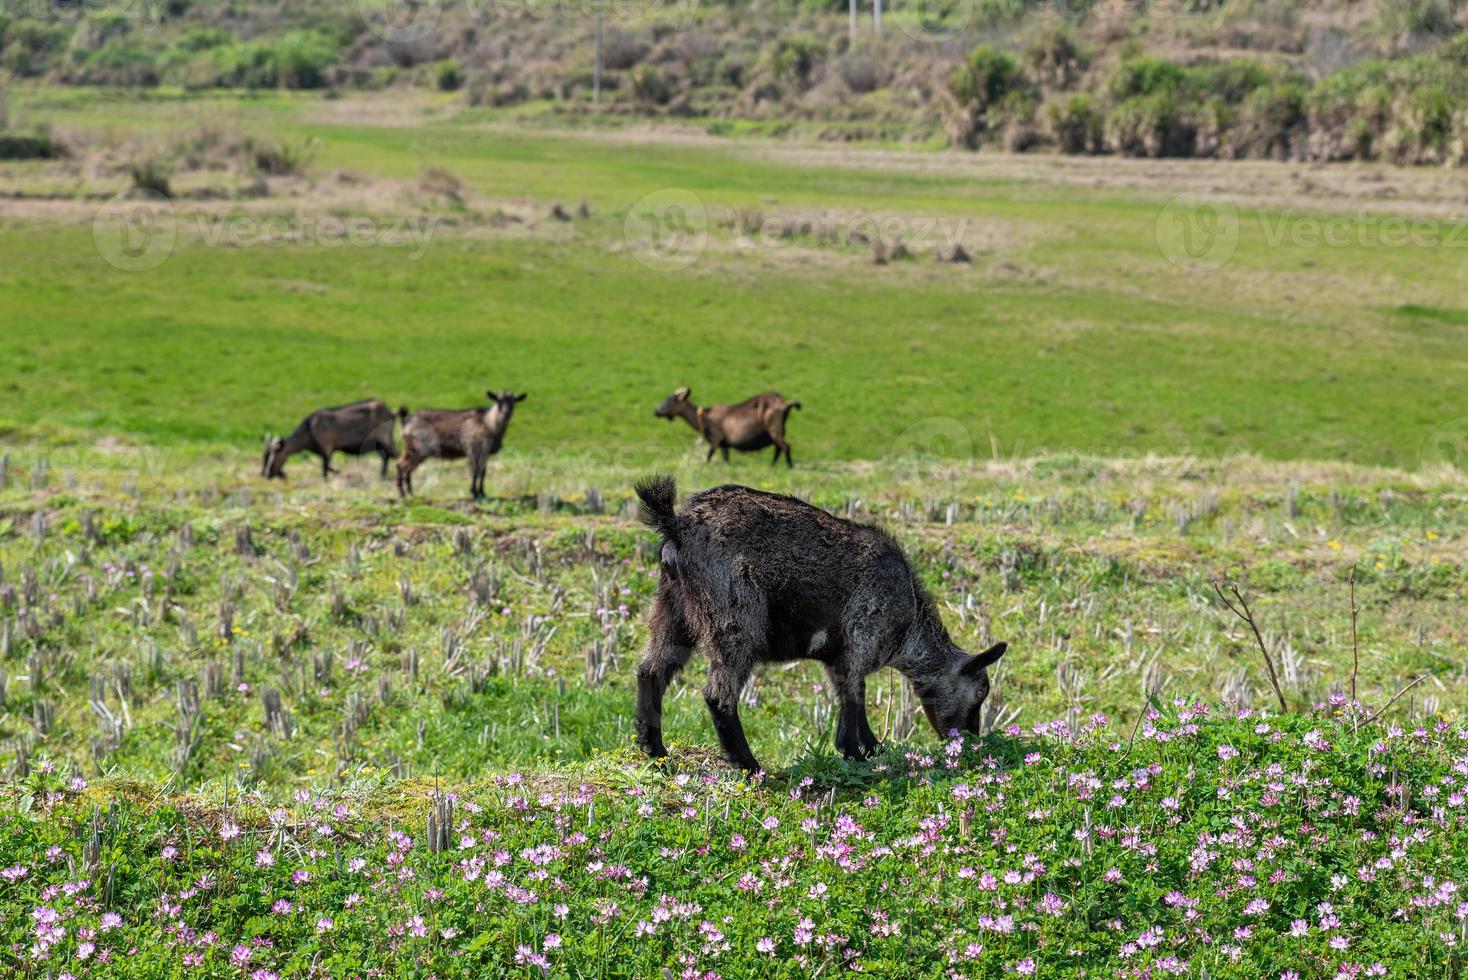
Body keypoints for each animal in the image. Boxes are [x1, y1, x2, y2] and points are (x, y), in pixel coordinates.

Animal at [261, 393, 402, 478]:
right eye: (264, 456)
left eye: (274, 456)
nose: (265, 474)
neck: (309, 430)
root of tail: (391, 412)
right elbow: (326, 468)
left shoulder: (327, 448)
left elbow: (325, 468)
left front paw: (338, 474)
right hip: (378, 443)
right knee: (386, 456)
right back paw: (382, 476)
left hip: (385, 437)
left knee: (396, 455)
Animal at [396, 390, 528, 498]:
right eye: (498, 401)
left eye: (513, 402)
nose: (505, 414)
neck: (487, 423)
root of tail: (406, 420)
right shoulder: (472, 448)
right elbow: (475, 471)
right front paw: (474, 492)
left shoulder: (485, 453)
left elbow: (483, 472)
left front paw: (482, 493)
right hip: (415, 448)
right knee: (401, 465)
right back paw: (402, 493)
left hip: (417, 452)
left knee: (408, 468)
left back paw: (410, 492)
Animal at [631, 475, 1009, 774]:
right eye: (980, 691)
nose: (969, 740)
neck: (908, 619)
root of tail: (677, 526)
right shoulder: (861, 638)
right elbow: (854, 698)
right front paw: (855, 754)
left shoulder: (837, 658)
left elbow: (851, 699)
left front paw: (872, 748)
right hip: (734, 617)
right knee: (717, 694)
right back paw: (749, 765)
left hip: (672, 610)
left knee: (652, 671)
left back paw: (656, 752)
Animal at [651, 387, 798, 466]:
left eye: (671, 400)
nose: (656, 411)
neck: (705, 417)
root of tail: (785, 403)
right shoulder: (725, 444)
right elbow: (726, 459)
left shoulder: (716, 438)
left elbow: (709, 455)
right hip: (778, 431)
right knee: (779, 448)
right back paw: (772, 465)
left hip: (774, 428)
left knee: (785, 446)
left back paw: (787, 467)